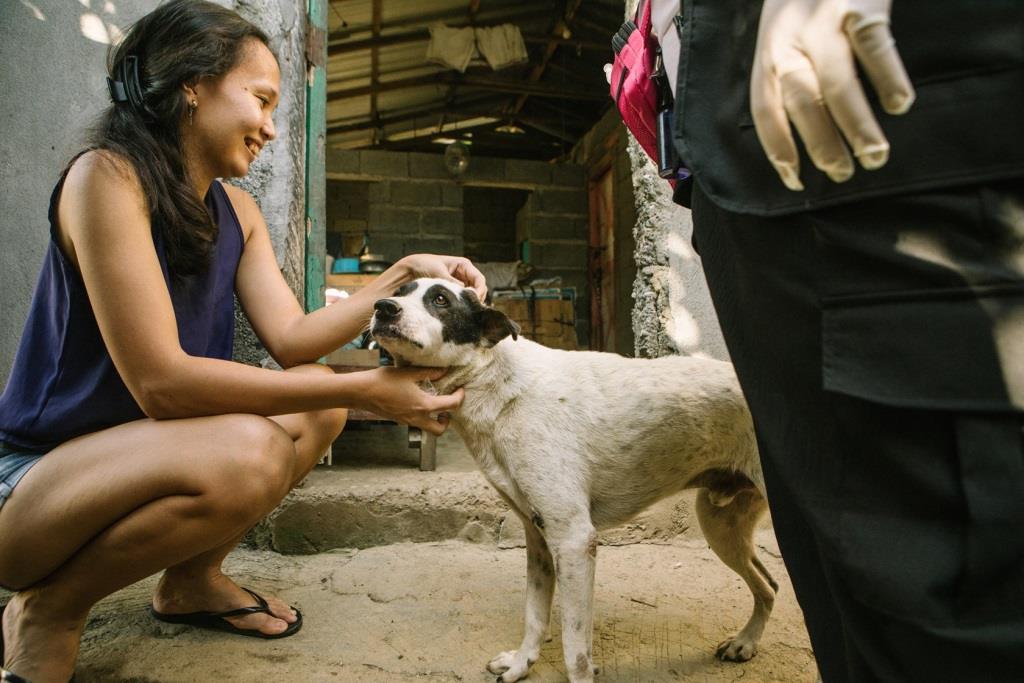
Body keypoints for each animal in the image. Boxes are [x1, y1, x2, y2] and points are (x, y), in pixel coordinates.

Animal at [372, 278, 778, 683]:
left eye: (440, 299)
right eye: (401, 290)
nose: (382, 307)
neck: (497, 383)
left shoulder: (574, 540)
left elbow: (575, 649)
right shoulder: (538, 537)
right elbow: (535, 616)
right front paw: (521, 664)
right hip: (719, 523)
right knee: (769, 585)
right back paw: (744, 642)